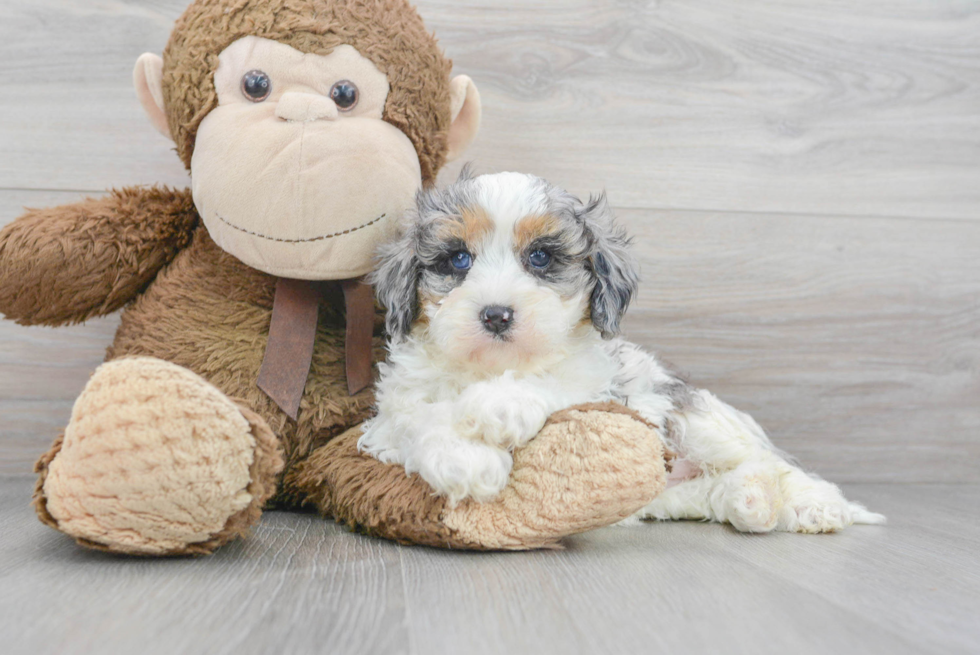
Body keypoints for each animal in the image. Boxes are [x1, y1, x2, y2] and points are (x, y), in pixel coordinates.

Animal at [358, 172, 880, 536]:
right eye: (458, 259)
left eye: (541, 257)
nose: (496, 315)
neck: (491, 368)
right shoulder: (391, 414)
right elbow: (417, 421)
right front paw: (466, 461)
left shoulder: (597, 389)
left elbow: (554, 387)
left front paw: (498, 406)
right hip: (672, 490)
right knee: (719, 487)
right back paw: (750, 500)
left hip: (697, 418)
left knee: (773, 462)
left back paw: (813, 505)